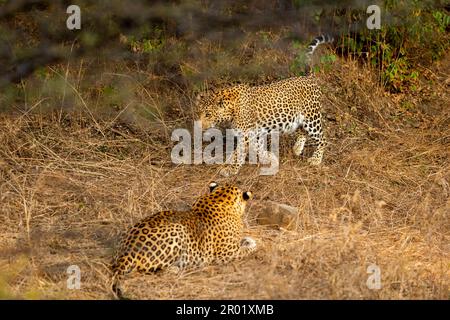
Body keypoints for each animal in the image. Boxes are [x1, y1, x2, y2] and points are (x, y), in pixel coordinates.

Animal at [110, 182, 256, 300]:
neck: (219, 198)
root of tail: (126, 252)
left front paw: (247, 239)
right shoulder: (227, 254)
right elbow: (249, 249)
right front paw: (252, 243)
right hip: (178, 230)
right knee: (146, 271)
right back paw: (175, 269)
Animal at [197, 34, 334, 178]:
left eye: (208, 114)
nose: (200, 126)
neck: (231, 110)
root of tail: (309, 77)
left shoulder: (246, 134)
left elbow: (240, 152)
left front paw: (232, 170)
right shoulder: (253, 134)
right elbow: (251, 149)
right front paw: (265, 157)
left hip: (312, 118)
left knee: (322, 139)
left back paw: (316, 159)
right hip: (300, 118)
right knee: (302, 132)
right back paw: (297, 149)